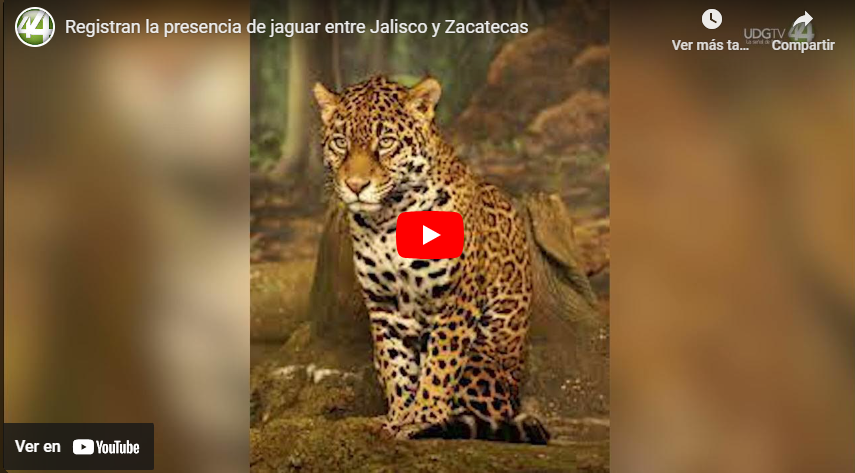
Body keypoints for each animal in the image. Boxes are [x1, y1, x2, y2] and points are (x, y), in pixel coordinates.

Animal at [313, 75, 549, 444]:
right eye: (340, 142)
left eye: (386, 142)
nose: (355, 185)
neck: (388, 220)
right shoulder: (384, 306)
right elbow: (396, 367)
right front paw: (398, 418)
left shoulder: (455, 301)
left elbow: (439, 366)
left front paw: (423, 418)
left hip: (483, 369)